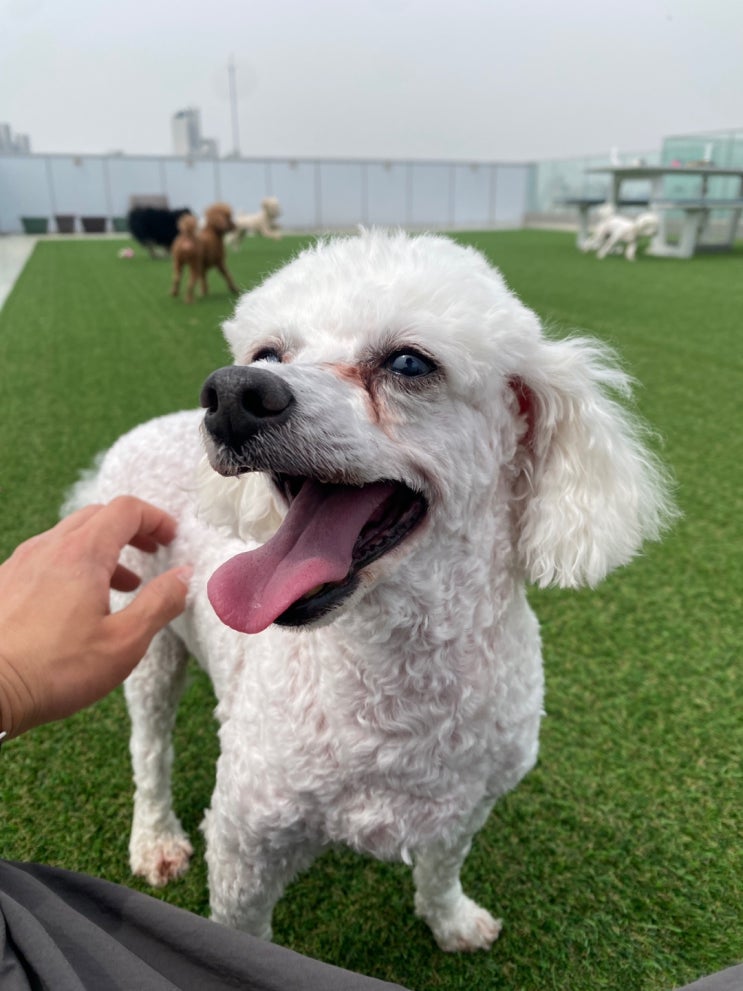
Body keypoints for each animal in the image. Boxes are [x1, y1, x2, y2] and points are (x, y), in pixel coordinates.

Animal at [68, 230, 674, 952]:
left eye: (409, 362)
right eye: (267, 354)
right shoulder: (245, 838)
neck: (392, 685)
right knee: (150, 750)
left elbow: (441, 870)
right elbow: (243, 927)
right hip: (147, 642)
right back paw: (156, 838)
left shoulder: (463, 806)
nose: (232, 394)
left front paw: (450, 920)